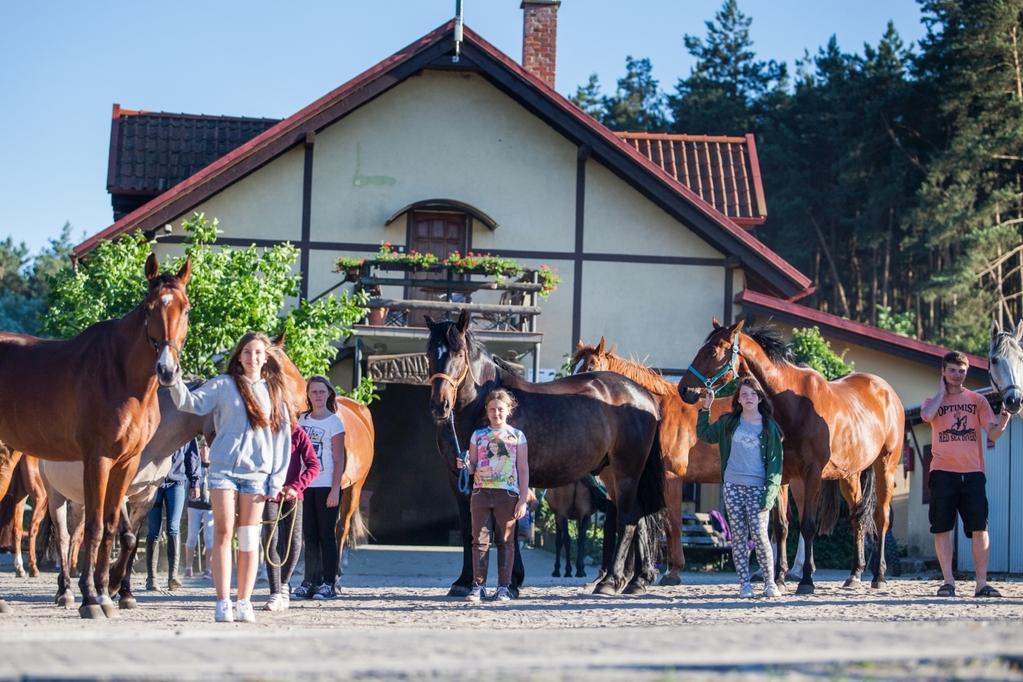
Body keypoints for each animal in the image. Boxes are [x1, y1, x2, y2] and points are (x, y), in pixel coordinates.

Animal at [0, 253, 192, 617]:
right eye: (149, 308)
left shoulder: (126, 464)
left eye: (185, 308)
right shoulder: (98, 460)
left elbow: (114, 527)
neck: (120, 373)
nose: (167, 370)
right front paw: (90, 597)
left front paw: (106, 592)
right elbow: (94, 527)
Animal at [423, 312, 662, 593]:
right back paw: (636, 581)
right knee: (639, 519)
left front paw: (510, 581)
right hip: (615, 474)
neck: (481, 405)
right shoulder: (457, 477)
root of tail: (644, 396)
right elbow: (469, 527)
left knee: (628, 519)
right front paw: (465, 582)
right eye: (429, 352)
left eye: (459, 354)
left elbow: (503, 526)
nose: (440, 405)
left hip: (627, 471)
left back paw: (611, 581)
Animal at [679, 323, 904, 593]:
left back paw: (878, 575)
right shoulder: (782, 475)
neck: (794, 405)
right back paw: (855, 573)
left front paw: (806, 580)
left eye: (713, 352)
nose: (684, 389)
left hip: (885, 467)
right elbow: (781, 527)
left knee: (882, 517)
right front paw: (778, 578)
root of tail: (887, 392)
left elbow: (807, 526)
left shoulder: (812, 475)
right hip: (849, 476)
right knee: (858, 518)